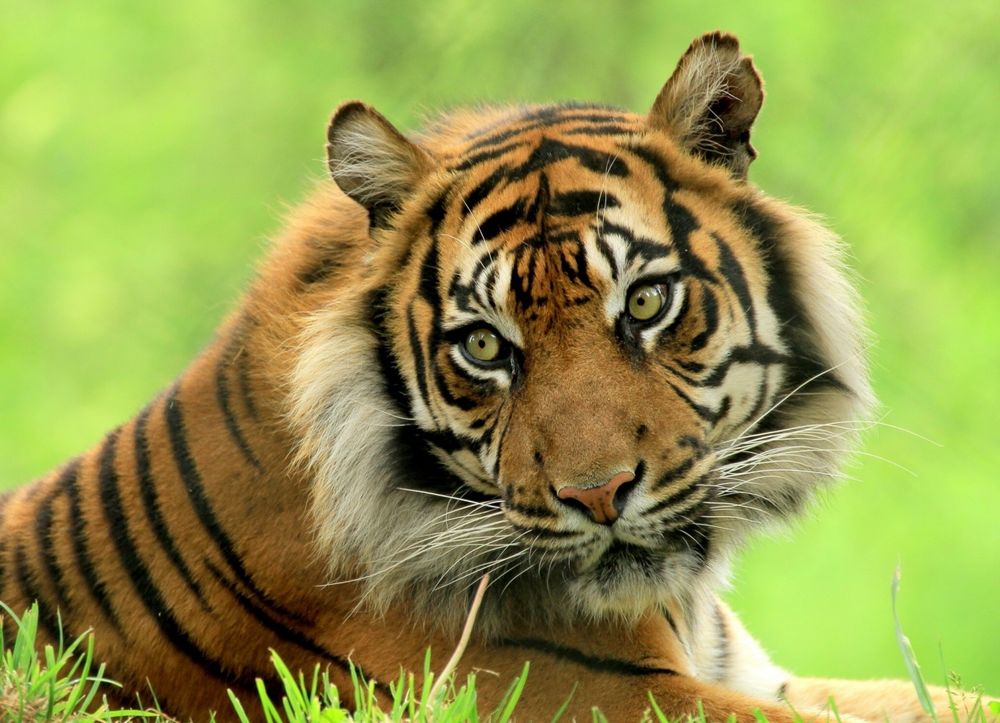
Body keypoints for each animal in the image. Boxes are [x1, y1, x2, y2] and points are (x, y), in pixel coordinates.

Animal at [0, 31, 993, 722]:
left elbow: (943, 694)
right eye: (484, 346)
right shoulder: (600, 693)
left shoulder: (762, 672)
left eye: (645, 303)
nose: (597, 495)